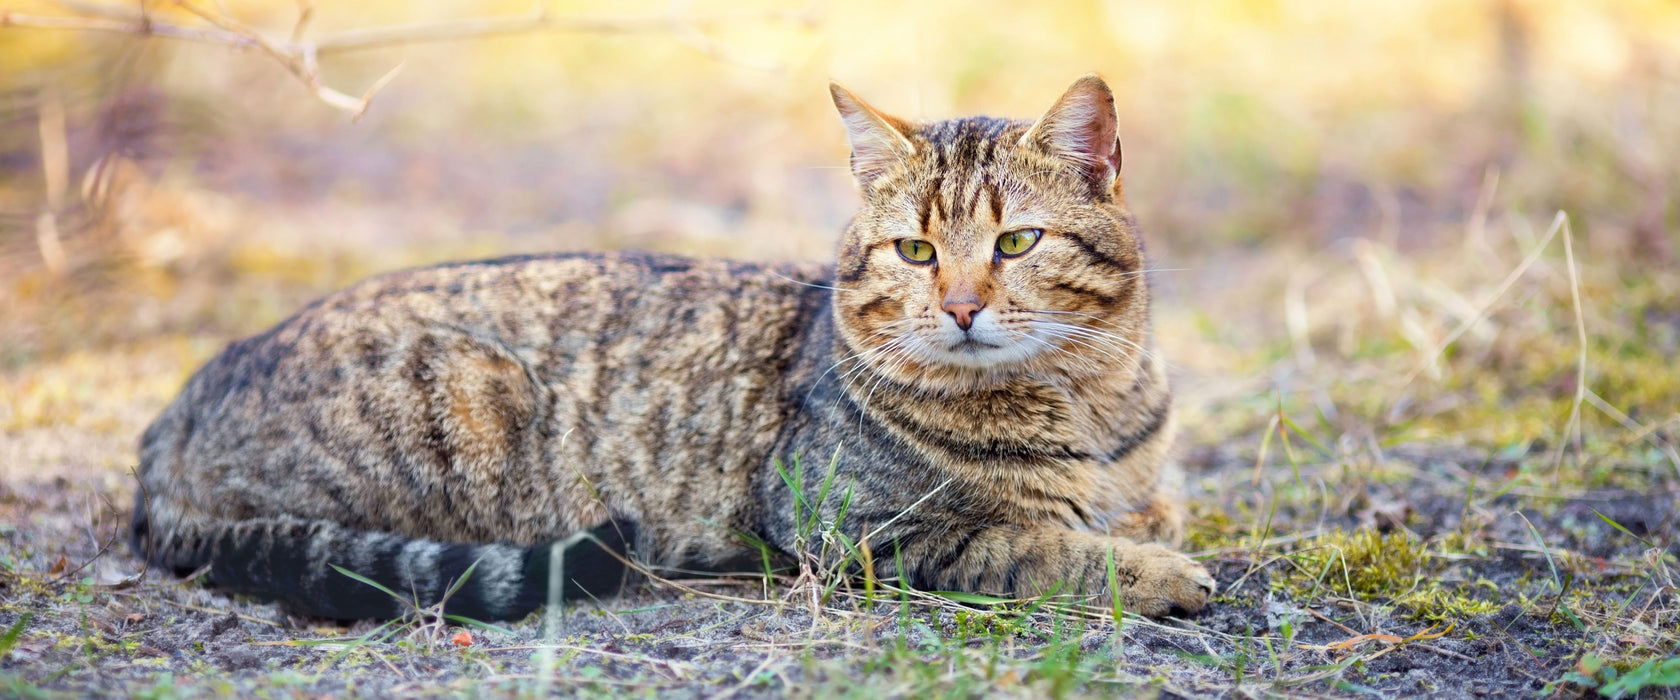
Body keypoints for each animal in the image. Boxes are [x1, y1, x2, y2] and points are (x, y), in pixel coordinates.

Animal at [127, 73, 1209, 617]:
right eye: (916, 250)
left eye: (1015, 243)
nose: (961, 307)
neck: (1086, 400)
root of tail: (171, 415)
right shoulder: (855, 525)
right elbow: (1032, 542)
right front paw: (1157, 575)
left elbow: (1142, 511)